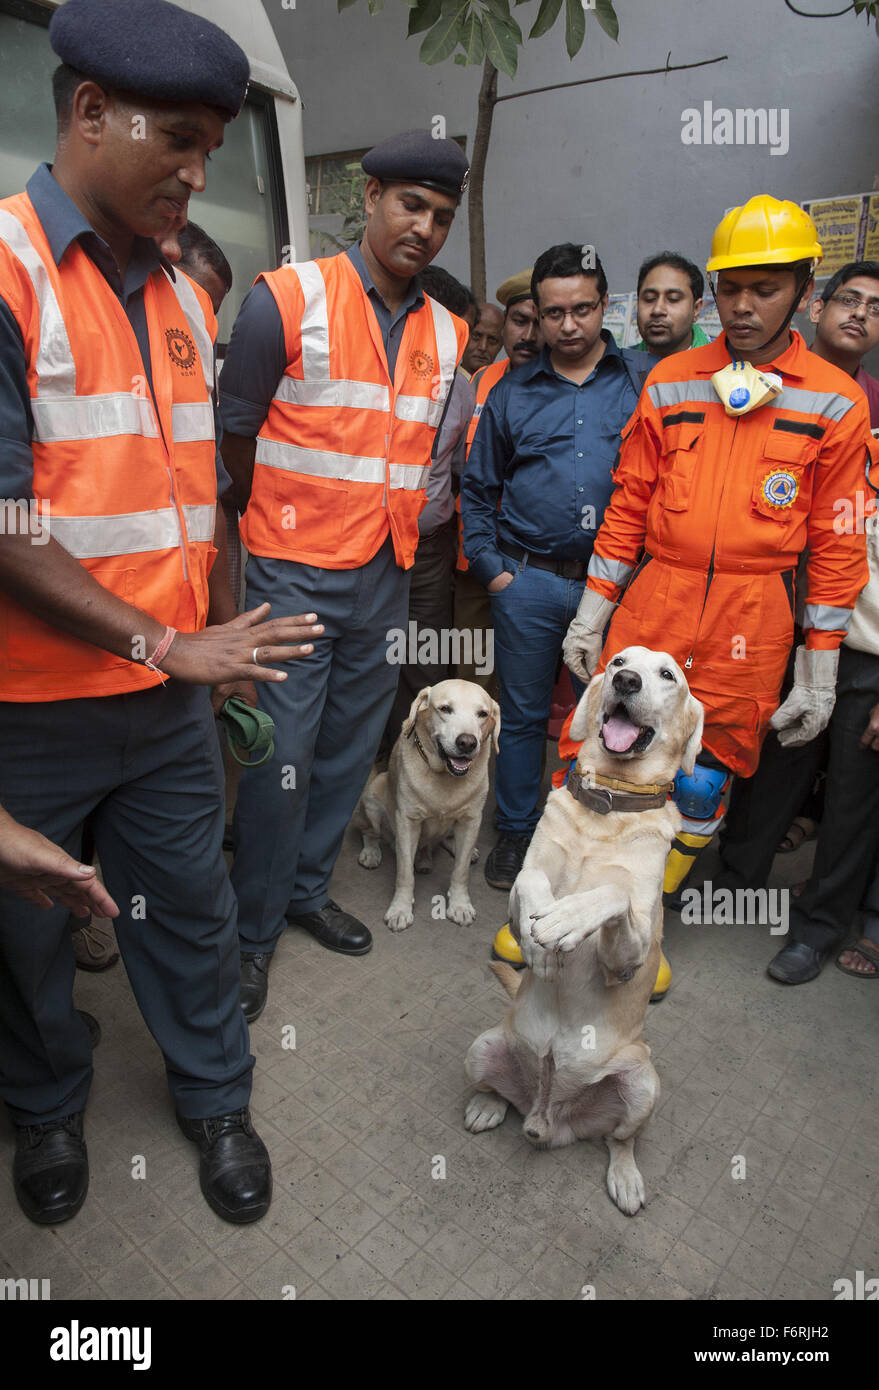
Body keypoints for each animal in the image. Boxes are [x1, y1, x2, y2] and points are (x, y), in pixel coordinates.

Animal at [351, 675, 497, 928]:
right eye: (445, 709)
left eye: (482, 714)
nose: (467, 743)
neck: (444, 777)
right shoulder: (407, 822)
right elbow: (405, 874)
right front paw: (400, 908)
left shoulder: (470, 820)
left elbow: (460, 872)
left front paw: (460, 904)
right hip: (373, 795)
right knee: (370, 832)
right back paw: (372, 852)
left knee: (446, 843)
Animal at [464, 644, 703, 1212]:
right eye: (618, 660)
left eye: (668, 675)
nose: (627, 680)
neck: (607, 806)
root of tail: (547, 1120)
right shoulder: (522, 887)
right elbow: (530, 880)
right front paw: (539, 946)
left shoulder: (627, 956)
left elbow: (611, 894)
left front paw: (566, 920)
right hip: (482, 1048)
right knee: (497, 1090)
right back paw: (488, 1105)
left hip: (642, 1082)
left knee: (621, 1140)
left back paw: (626, 1177)